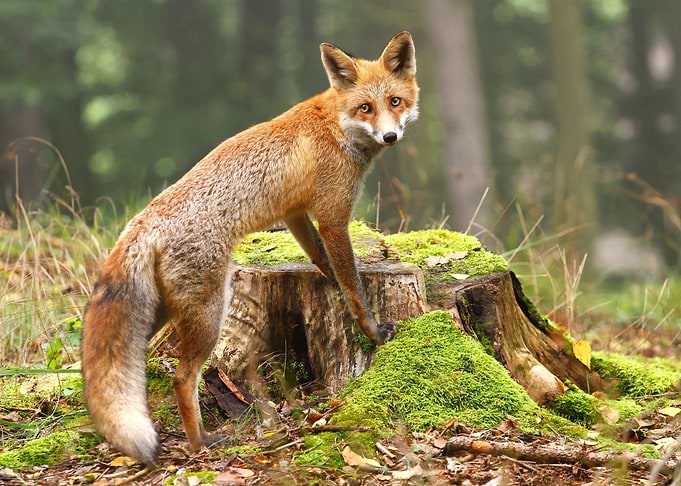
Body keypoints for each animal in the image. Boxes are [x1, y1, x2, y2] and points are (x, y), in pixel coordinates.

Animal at [81, 31, 419, 465]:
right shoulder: (332, 217)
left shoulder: (295, 215)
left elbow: (323, 262)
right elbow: (354, 286)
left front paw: (333, 284)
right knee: (182, 377)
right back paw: (200, 443)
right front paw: (373, 331)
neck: (336, 126)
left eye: (394, 101)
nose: (390, 136)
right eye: (366, 107)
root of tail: (145, 219)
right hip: (210, 311)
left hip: (160, 312)